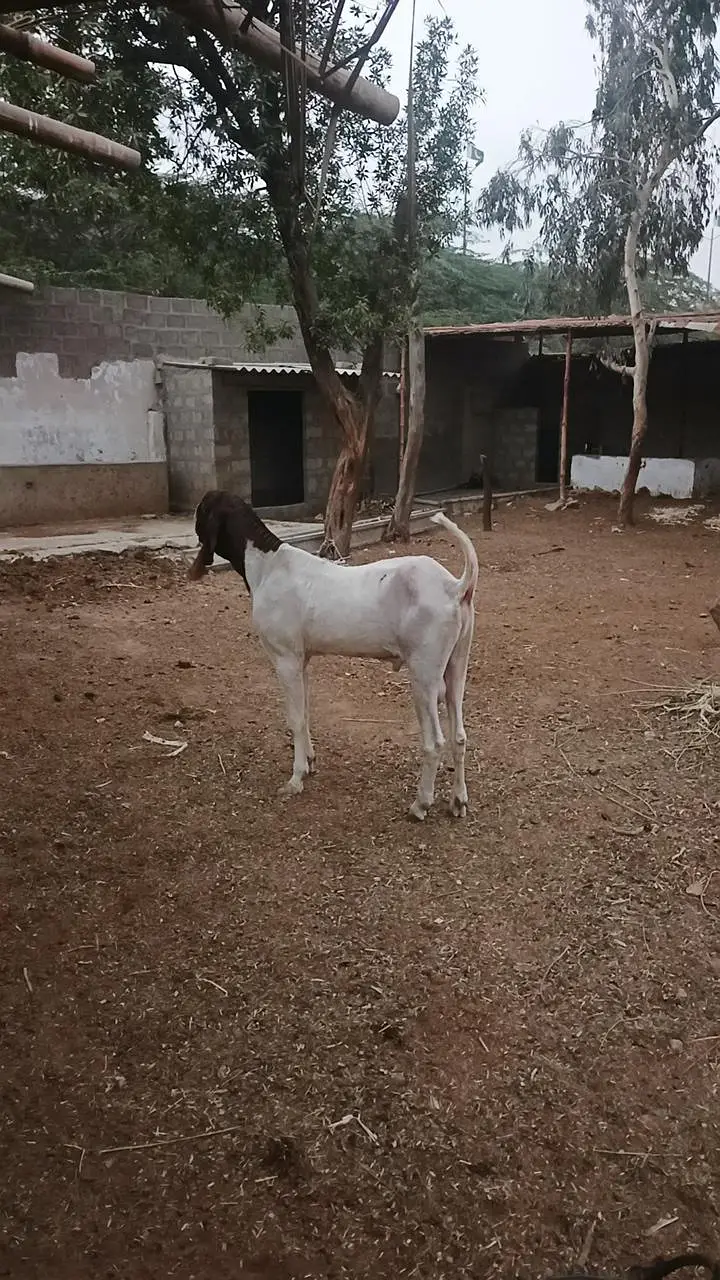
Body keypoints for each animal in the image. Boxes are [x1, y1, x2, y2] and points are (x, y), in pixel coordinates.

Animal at [189, 490, 479, 820]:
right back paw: (458, 800)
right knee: (459, 736)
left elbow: (295, 719)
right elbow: (305, 712)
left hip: (424, 674)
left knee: (434, 741)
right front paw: (310, 761)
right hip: (456, 664)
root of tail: (454, 587)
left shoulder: (285, 659)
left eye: (201, 510)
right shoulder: (301, 660)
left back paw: (421, 803)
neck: (268, 564)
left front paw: (296, 778)